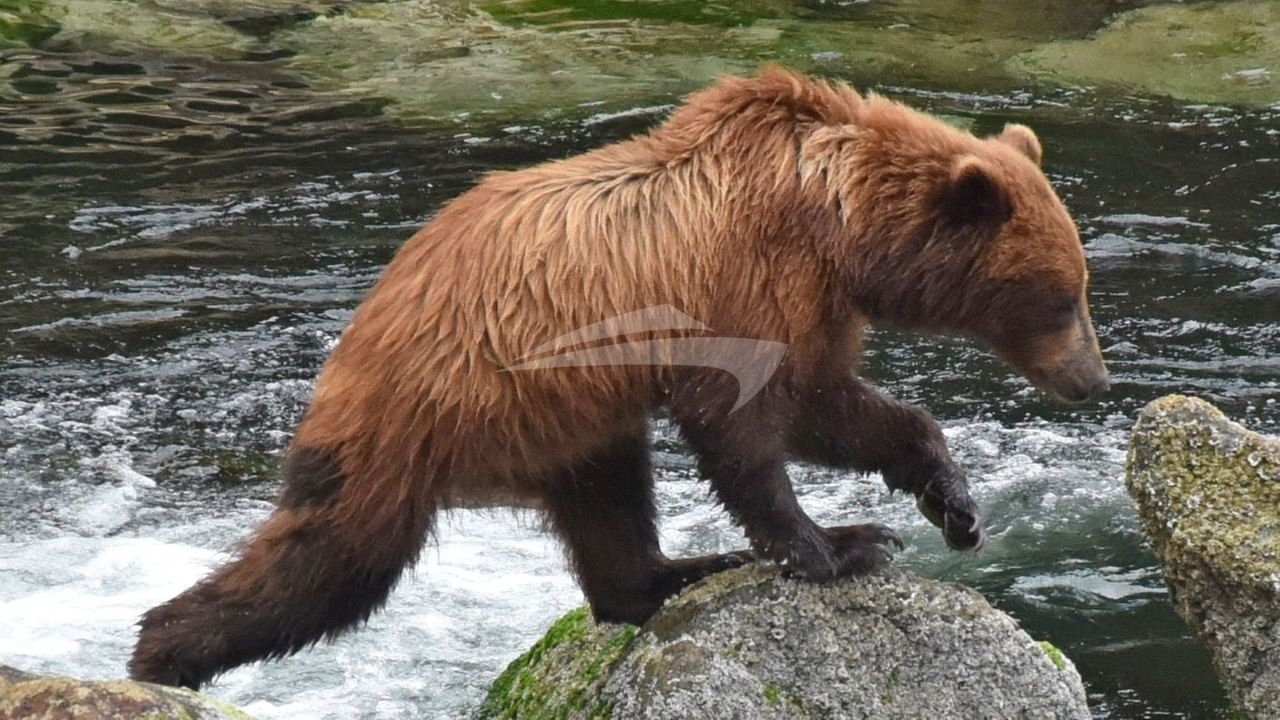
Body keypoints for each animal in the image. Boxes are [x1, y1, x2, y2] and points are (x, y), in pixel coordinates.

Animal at [129, 67, 1108, 689]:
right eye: (1062, 297)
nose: (1095, 380)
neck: (836, 227)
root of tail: (367, 314)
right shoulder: (743, 280)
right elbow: (748, 425)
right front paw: (834, 545)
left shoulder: (812, 304)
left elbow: (835, 406)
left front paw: (952, 505)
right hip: (427, 410)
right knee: (333, 559)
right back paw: (159, 654)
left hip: (566, 420)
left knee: (609, 504)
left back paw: (674, 572)